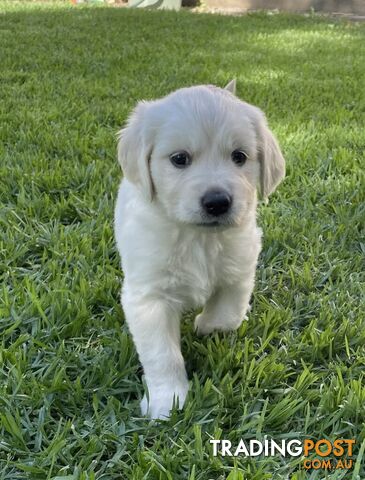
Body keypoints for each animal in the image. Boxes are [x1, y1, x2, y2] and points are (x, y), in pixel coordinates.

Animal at [114, 80, 284, 418]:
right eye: (179, 158)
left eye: (239, 156)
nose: (217, 202)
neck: (197, 238)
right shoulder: (149, 298)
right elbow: (162, 355)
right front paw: (166, 400)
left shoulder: (240, 269)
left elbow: (227, 314)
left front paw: (206, 326)